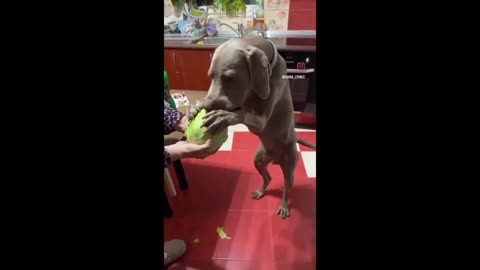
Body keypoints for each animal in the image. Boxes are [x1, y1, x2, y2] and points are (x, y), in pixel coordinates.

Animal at [189, 36, 316, 219]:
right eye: (210, 76)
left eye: (229, 78)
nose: (207, 106)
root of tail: (275, 159)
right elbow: (238, 109)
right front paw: (195, 109)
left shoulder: (259, 120)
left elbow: (241, 114)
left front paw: (221, 116)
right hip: (259, 159)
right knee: (268, 177)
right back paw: (261, 191)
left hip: (290, 164)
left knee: (286, 188)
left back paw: (284, 206)